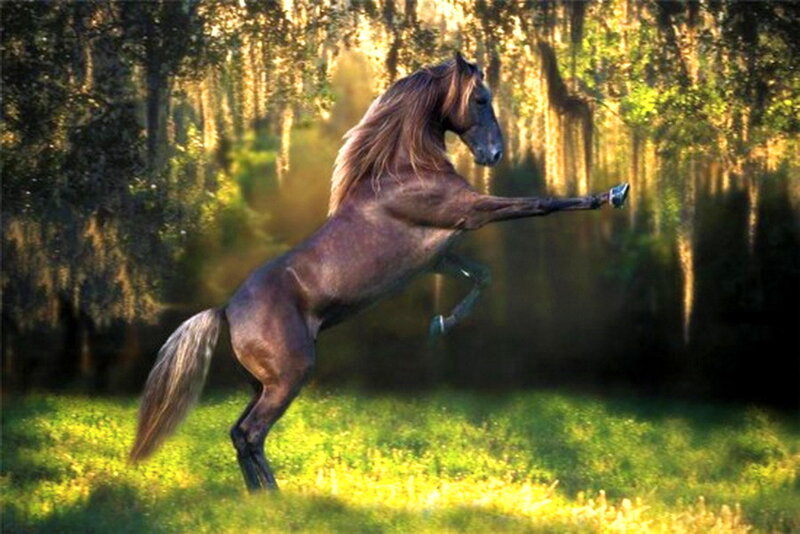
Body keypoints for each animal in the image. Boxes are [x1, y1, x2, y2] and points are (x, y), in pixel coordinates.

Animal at [130, 52, 630, 491]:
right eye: (480, 99)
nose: (494, 154)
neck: (406, 170)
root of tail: (226, 310)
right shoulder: (471, 213)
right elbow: (542, 203)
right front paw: (612, 194)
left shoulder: (439, 256)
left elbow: (481, 276)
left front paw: (439, 325)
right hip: (288, 376)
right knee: (251, 433)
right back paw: (273, 497)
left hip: (262, 383)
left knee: (239, 434)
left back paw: (262, 497)